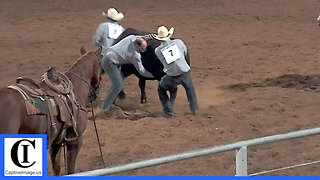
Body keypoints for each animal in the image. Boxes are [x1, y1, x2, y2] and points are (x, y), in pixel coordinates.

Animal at [0, 47, 102, 175]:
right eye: (101, 64)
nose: (94, 94)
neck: (75, 91)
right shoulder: (75, 142)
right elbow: (71, 170)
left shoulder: (55, 144)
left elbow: (56, 168)